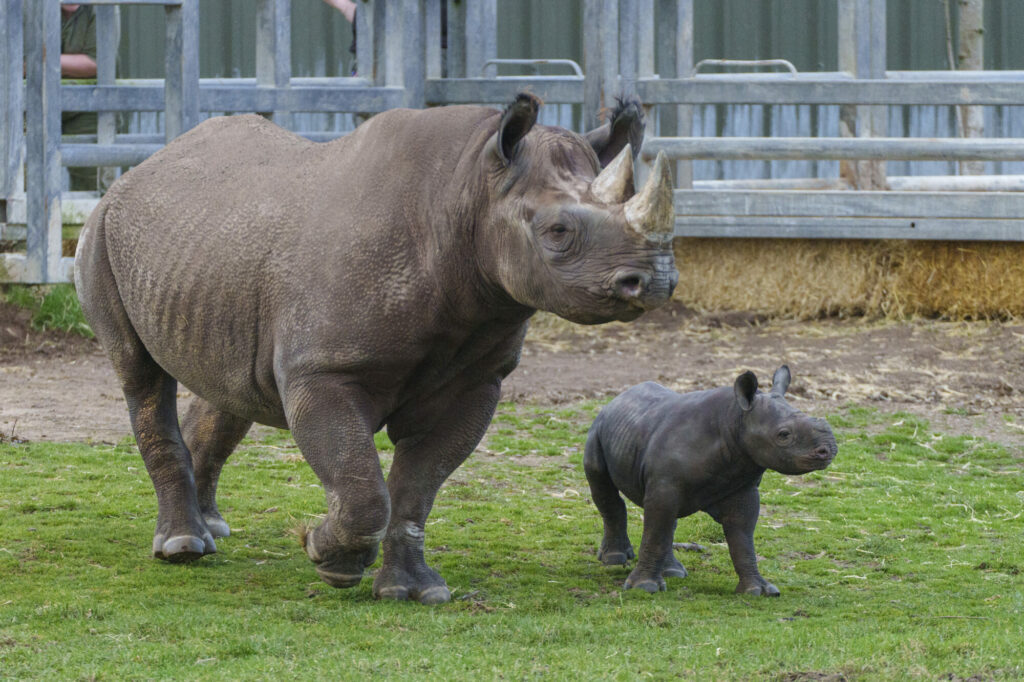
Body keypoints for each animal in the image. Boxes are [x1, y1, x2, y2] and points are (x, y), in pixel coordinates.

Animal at [75, 93, 678, 604]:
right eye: (557, 232)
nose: (656, 281)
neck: (466, 191)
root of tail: (142, 168)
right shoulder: (323, 371)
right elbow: (363, 487)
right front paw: (326, 556)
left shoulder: (476, 380)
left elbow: (416, 489)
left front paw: (414, 591)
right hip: (103, 229)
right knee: (140, 376)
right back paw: (182, 548)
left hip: (208, 251)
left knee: (229, 387)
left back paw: (212, 530)